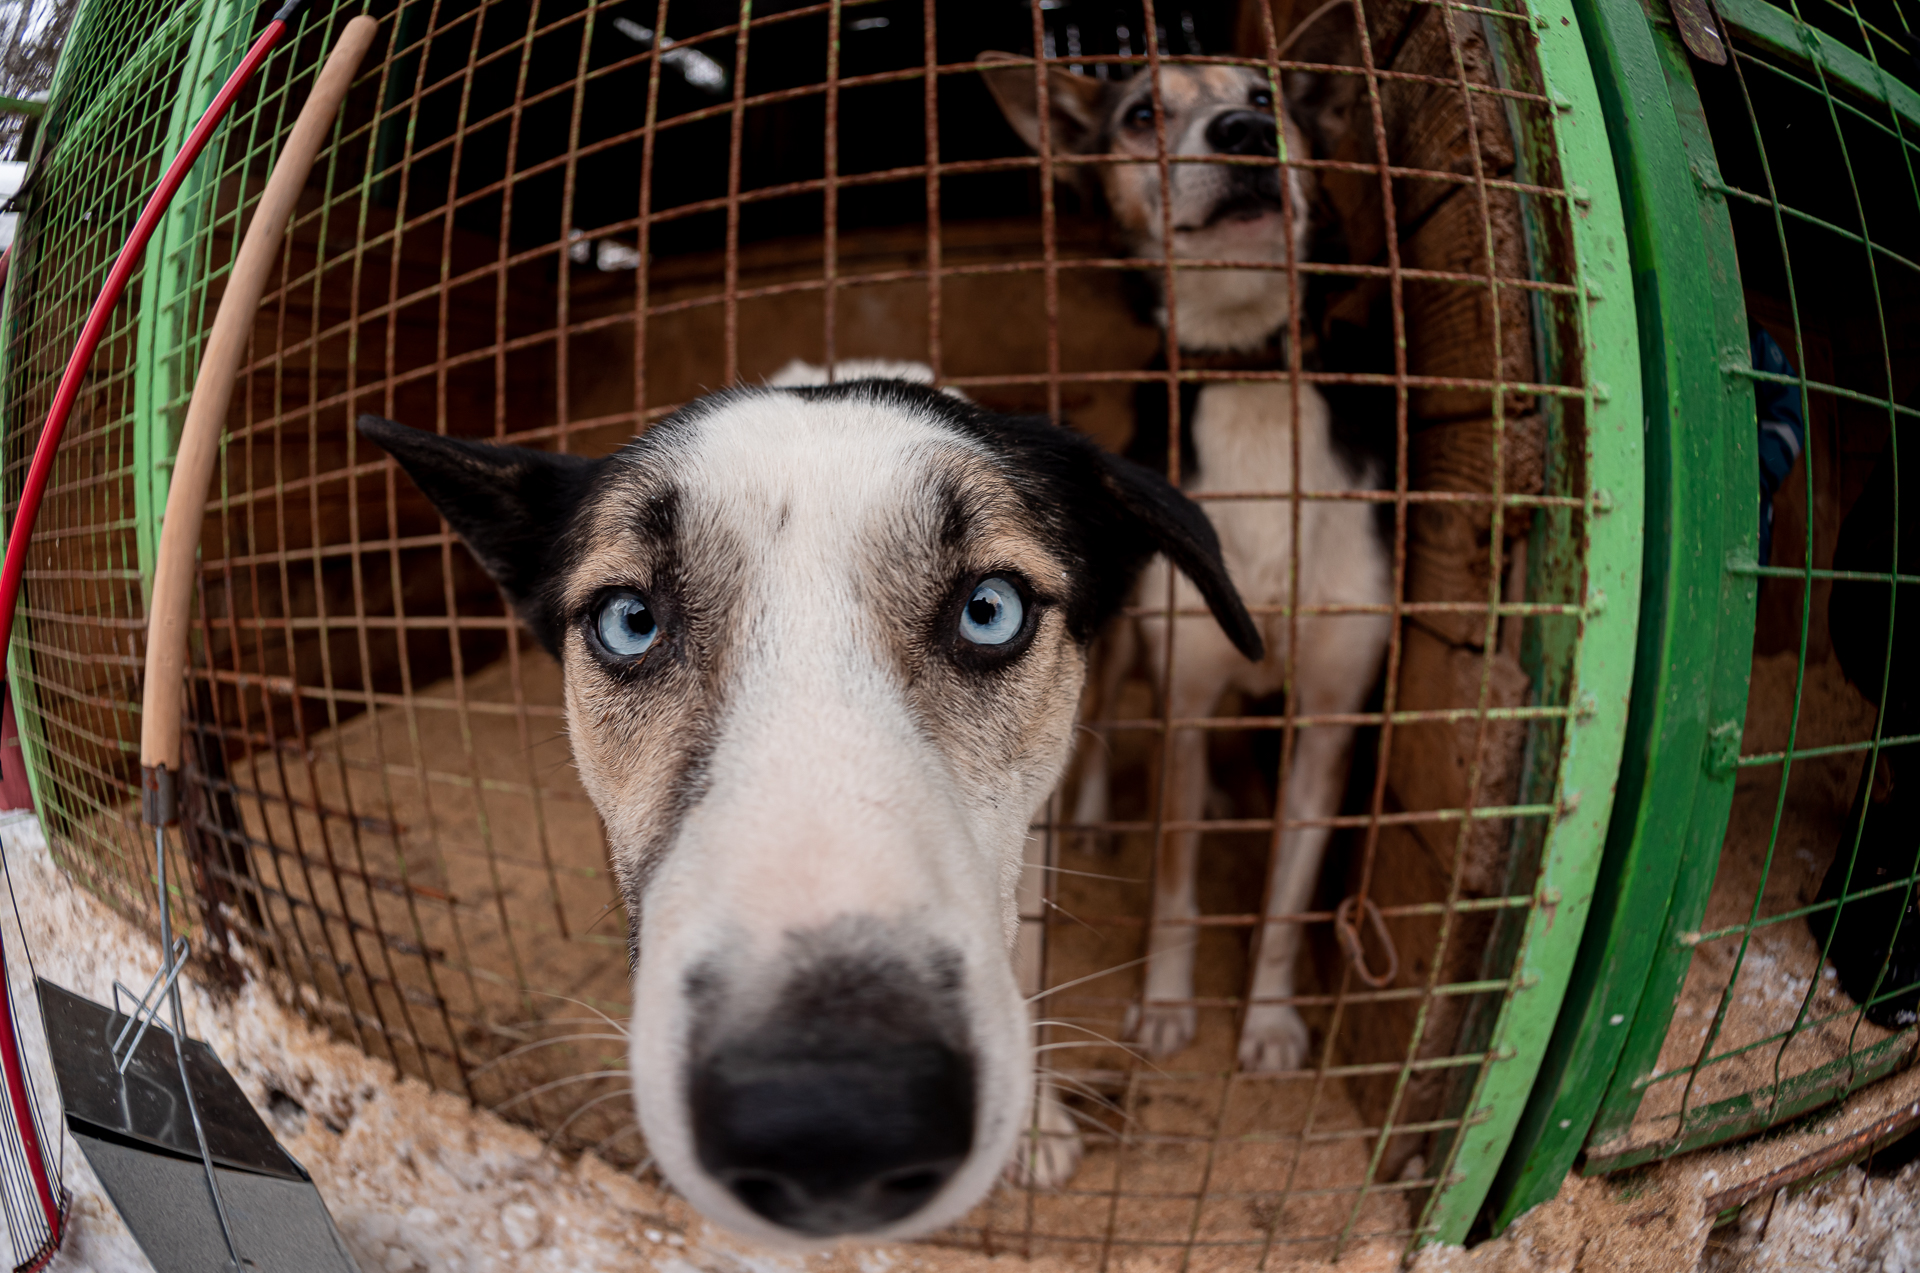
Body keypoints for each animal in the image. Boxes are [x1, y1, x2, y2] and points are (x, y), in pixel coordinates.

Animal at [983, 47, 1390, 1075]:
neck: (1248, 381)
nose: (1247, 134)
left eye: (1267, 96)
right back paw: (1093, 815)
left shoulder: (1331, 717)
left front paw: (1270, 1021)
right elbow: (1174, 885)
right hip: (1124, 630)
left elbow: (1285, 899)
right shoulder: (1187, 703)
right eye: (1140, 114)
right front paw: (1167, 1004)